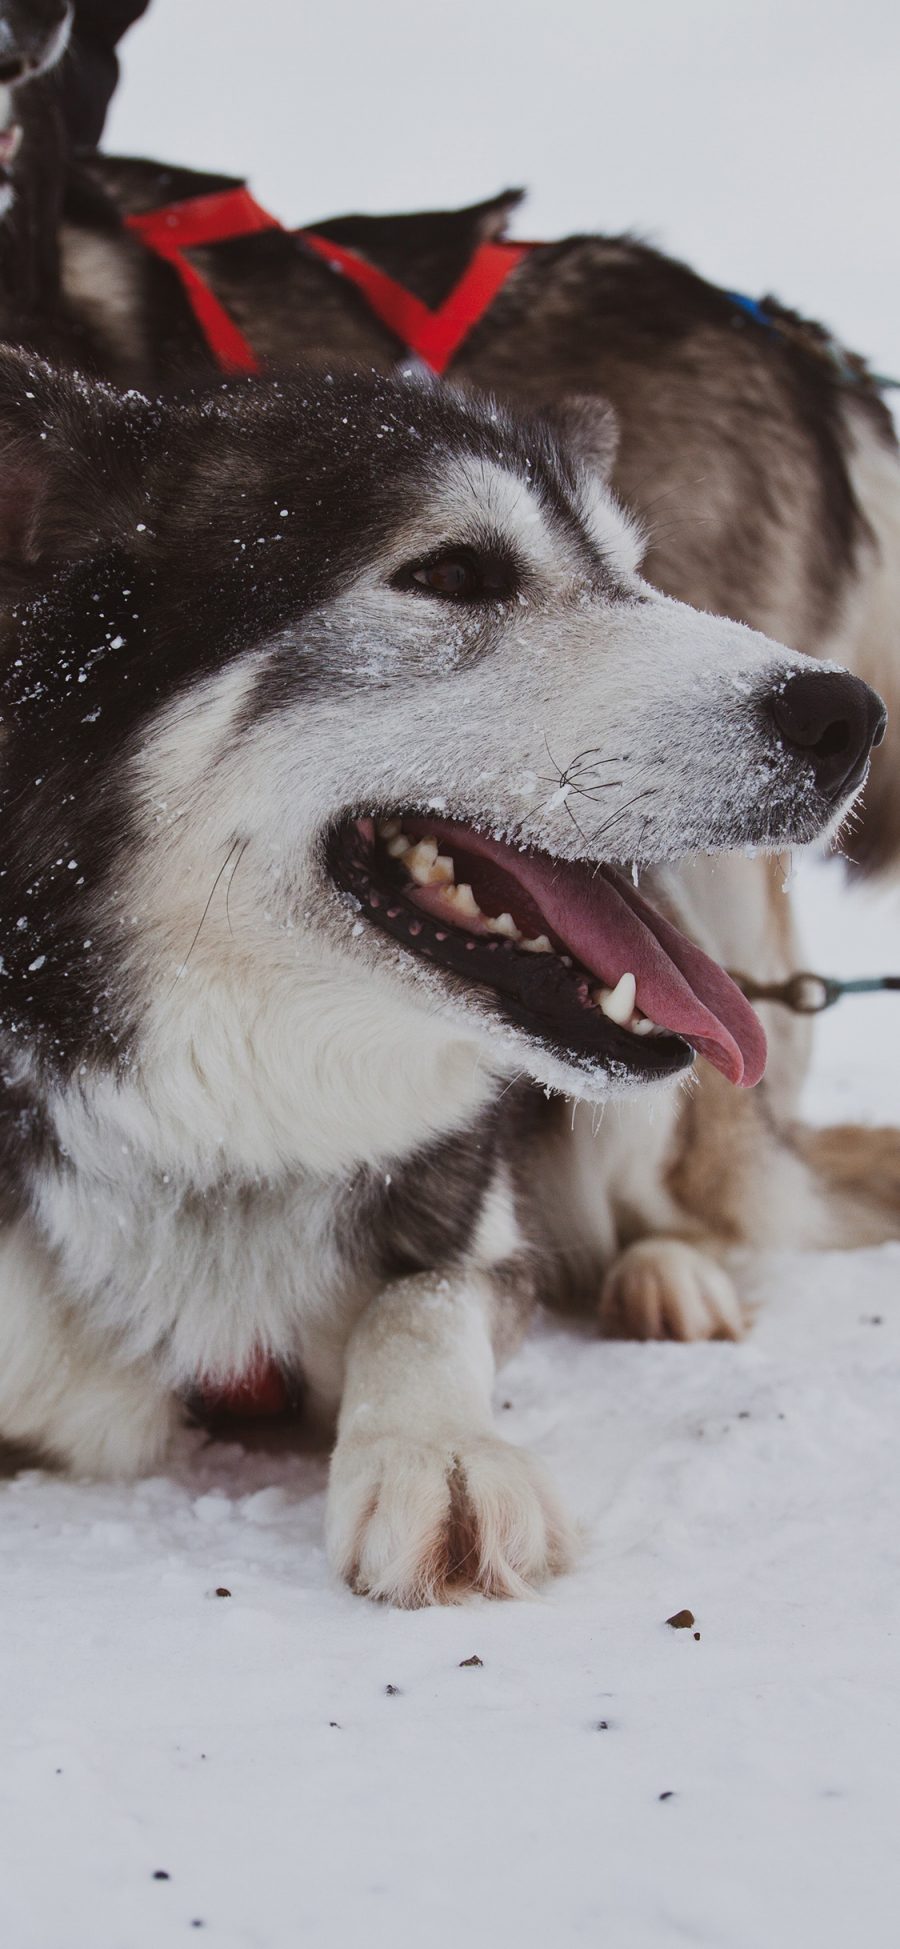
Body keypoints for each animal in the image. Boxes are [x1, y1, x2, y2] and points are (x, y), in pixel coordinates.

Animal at [0, 350, 884, 1598]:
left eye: (633, 571)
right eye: (455, 571)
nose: (850, 716)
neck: (226, 1132)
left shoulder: (481, 1237)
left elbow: (422, 1300)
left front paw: (443, 1450)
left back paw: (668, 1275)